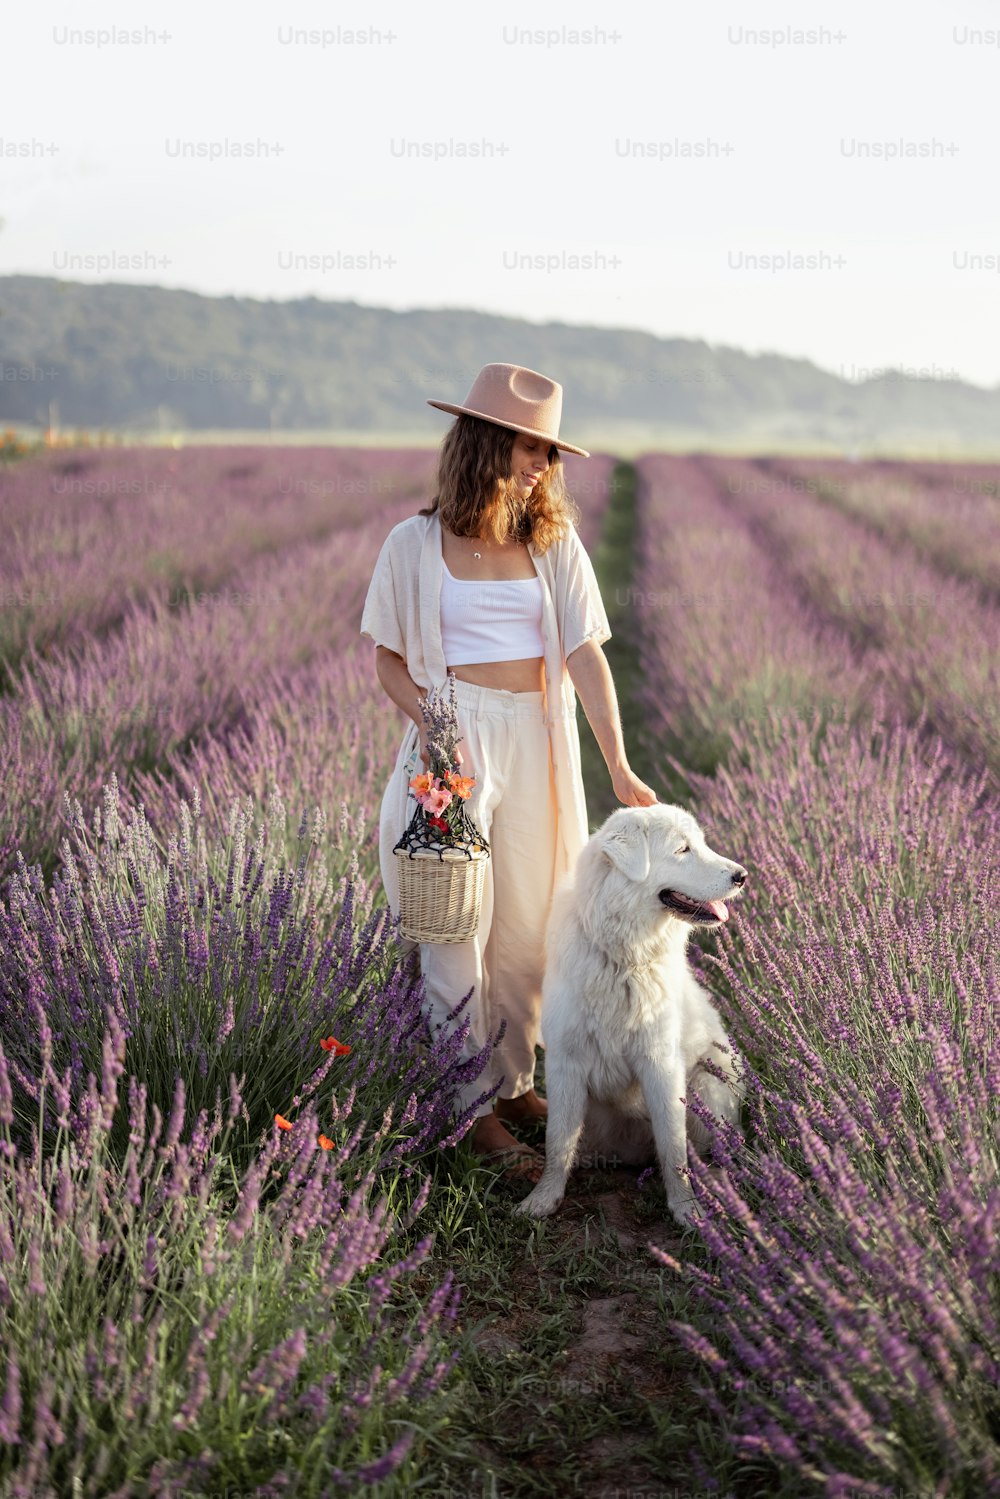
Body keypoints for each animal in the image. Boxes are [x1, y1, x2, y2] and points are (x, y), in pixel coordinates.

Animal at [521, 803, 746, 1223]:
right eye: (682, 850)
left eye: (702, 844)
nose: (743, 876)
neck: (623, 958)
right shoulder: (565, 1063)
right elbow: (557, 1141)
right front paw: (543, 1199)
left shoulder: (661, 1064)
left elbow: (674, 1147)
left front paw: (685, 1208)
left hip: (709, 1088)